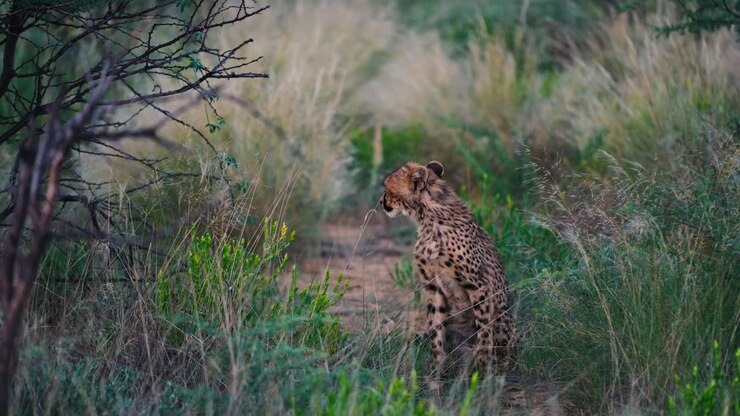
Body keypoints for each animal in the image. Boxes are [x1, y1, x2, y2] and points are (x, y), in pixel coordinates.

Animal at [380, 160, 516, 377]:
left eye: (388, 189)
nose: (380, 201)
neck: (428, 216)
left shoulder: (478, 286)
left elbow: (484, 332)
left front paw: (484, 370)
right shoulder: (432, 285)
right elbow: (436, 330)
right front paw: (437, 371)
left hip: (503, 319)